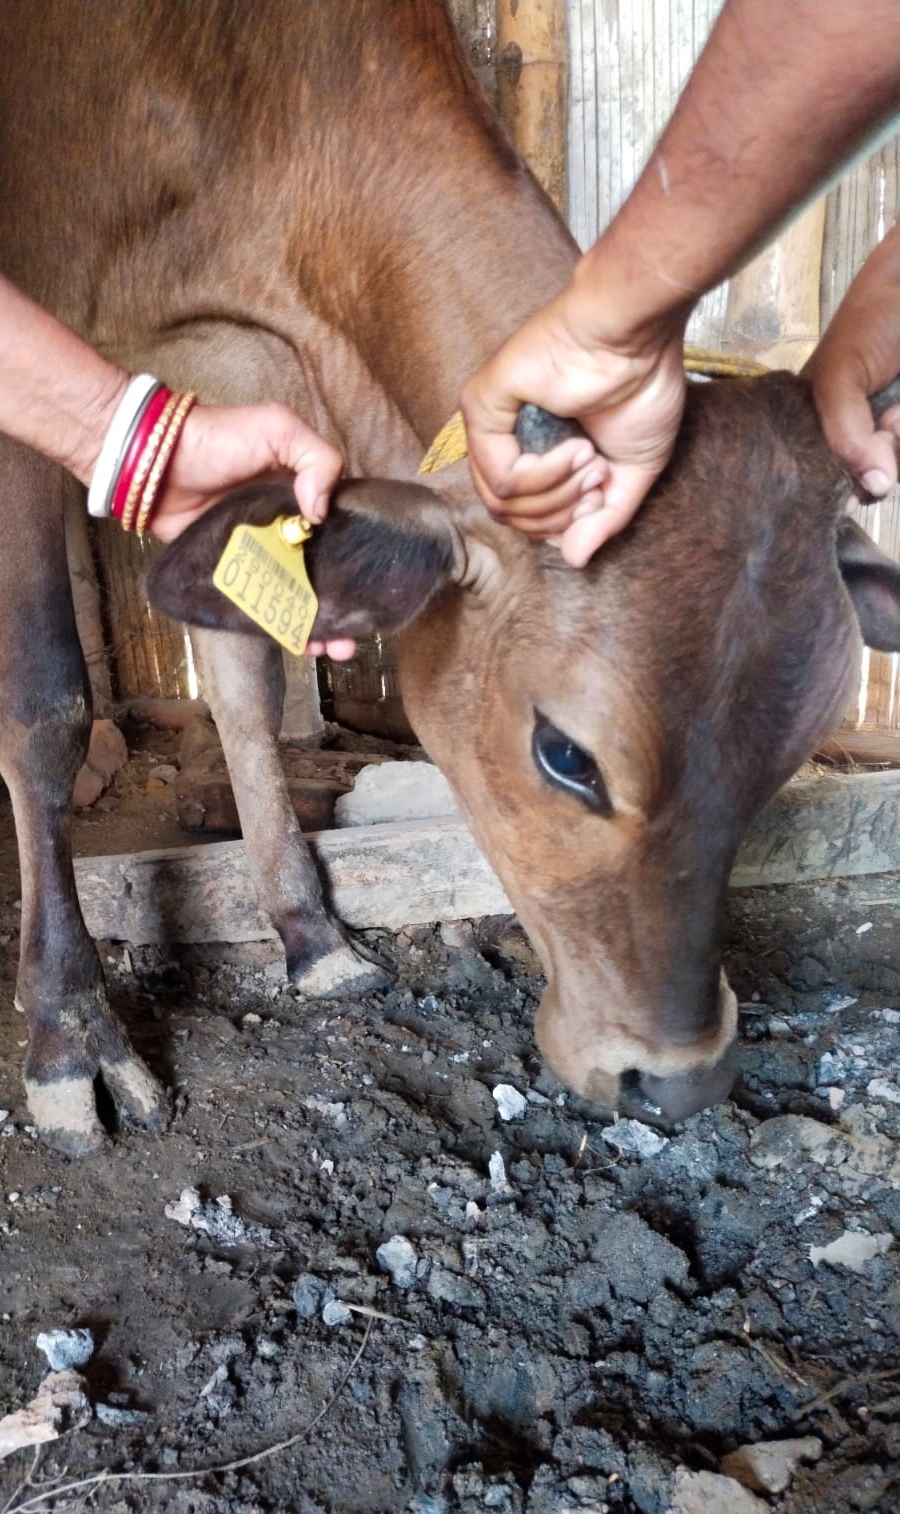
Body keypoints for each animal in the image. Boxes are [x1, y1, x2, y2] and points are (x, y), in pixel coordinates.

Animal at [1, 0, 896, 1144]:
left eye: (790, 756)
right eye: (567, 754)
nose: (681, 1079)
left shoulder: (246, 389)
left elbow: (245, 682)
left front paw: (308, 932)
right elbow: (45, 708)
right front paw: (73, 1034)